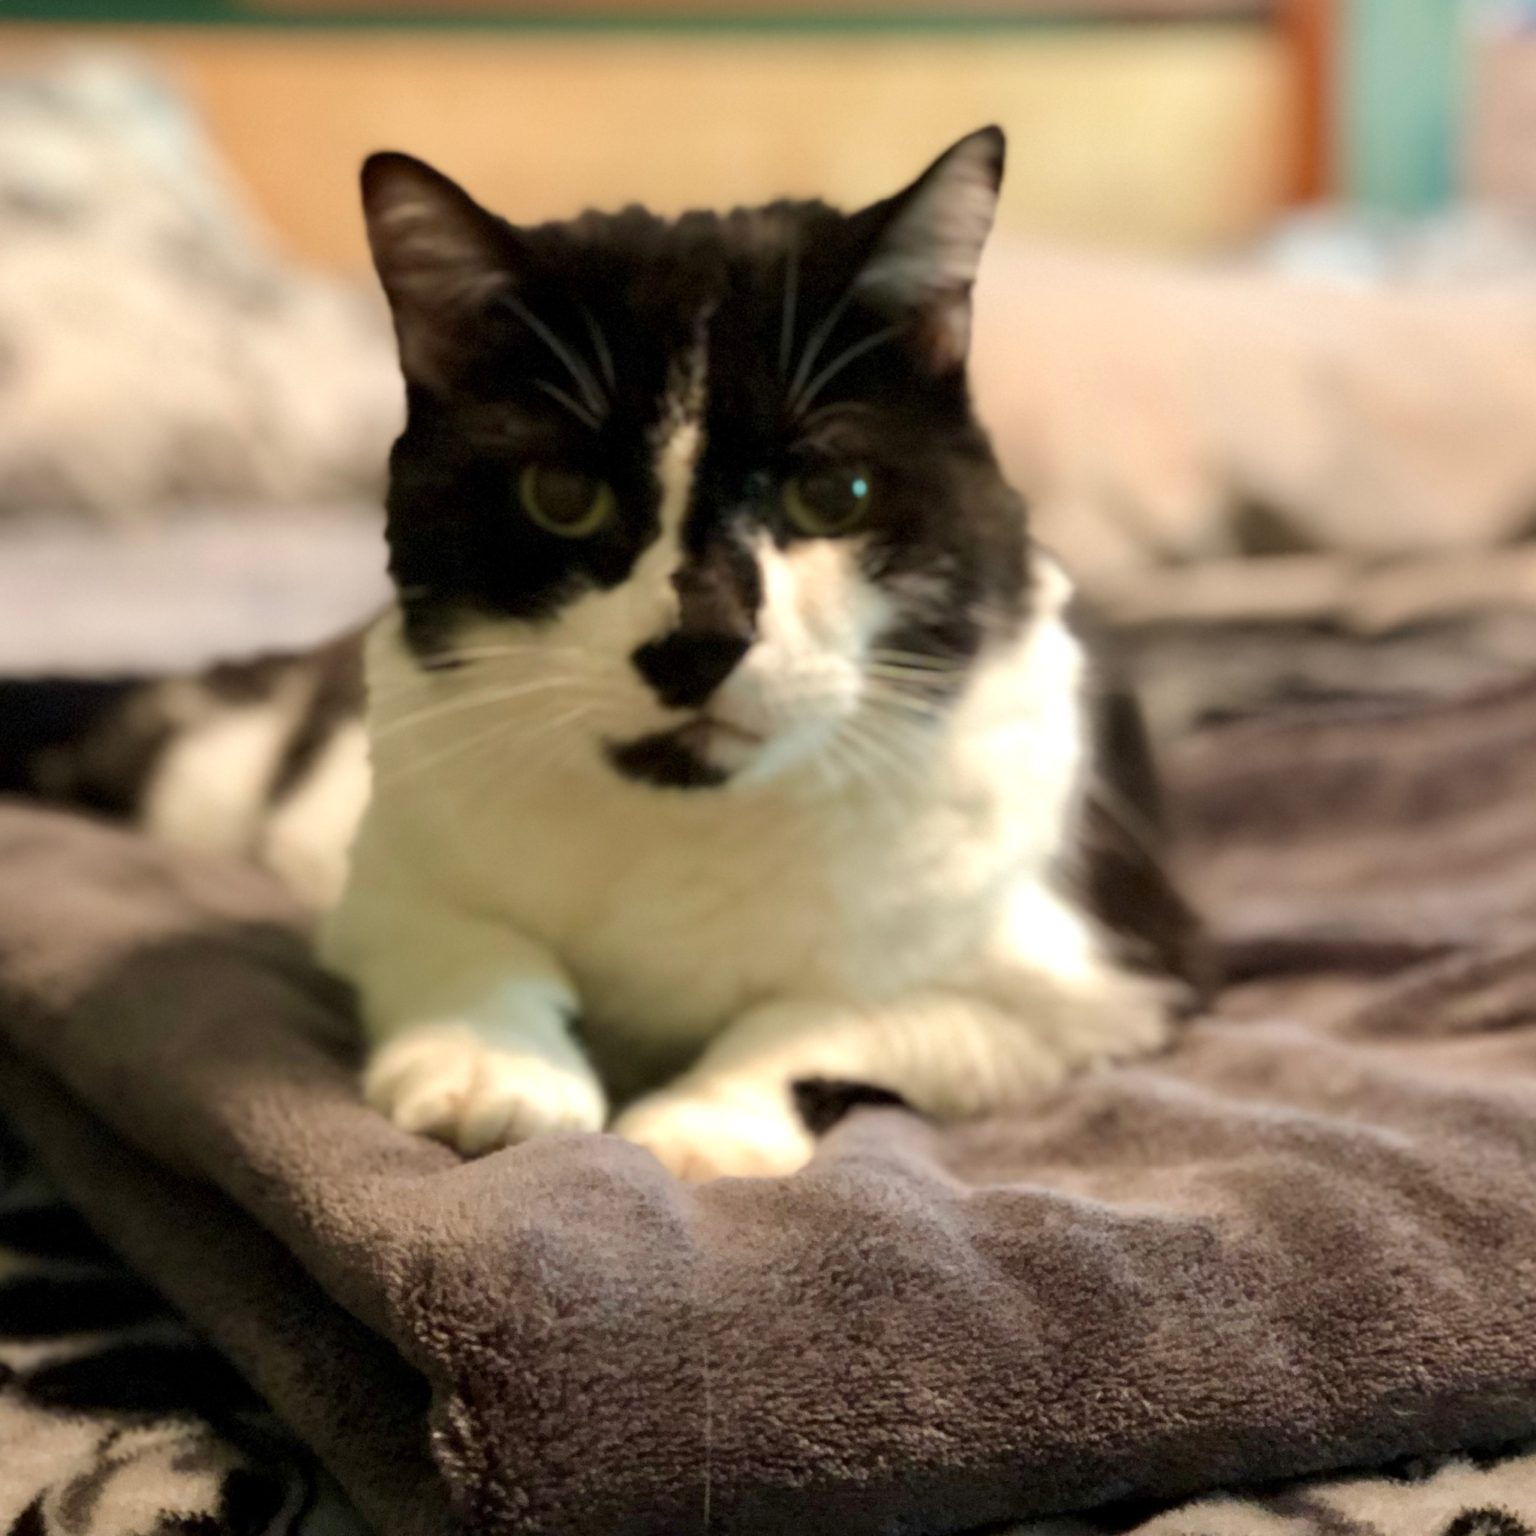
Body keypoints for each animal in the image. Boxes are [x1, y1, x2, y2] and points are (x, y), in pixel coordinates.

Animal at [317, 125, 1206, 1180]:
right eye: (562, 496)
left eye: (834, 493)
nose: (700, 641)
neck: (692, 817)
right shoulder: (394, 862)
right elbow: (460, 939)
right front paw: (490, 1064)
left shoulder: (1100, 975)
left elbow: (835, 1015)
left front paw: (704, 1121)